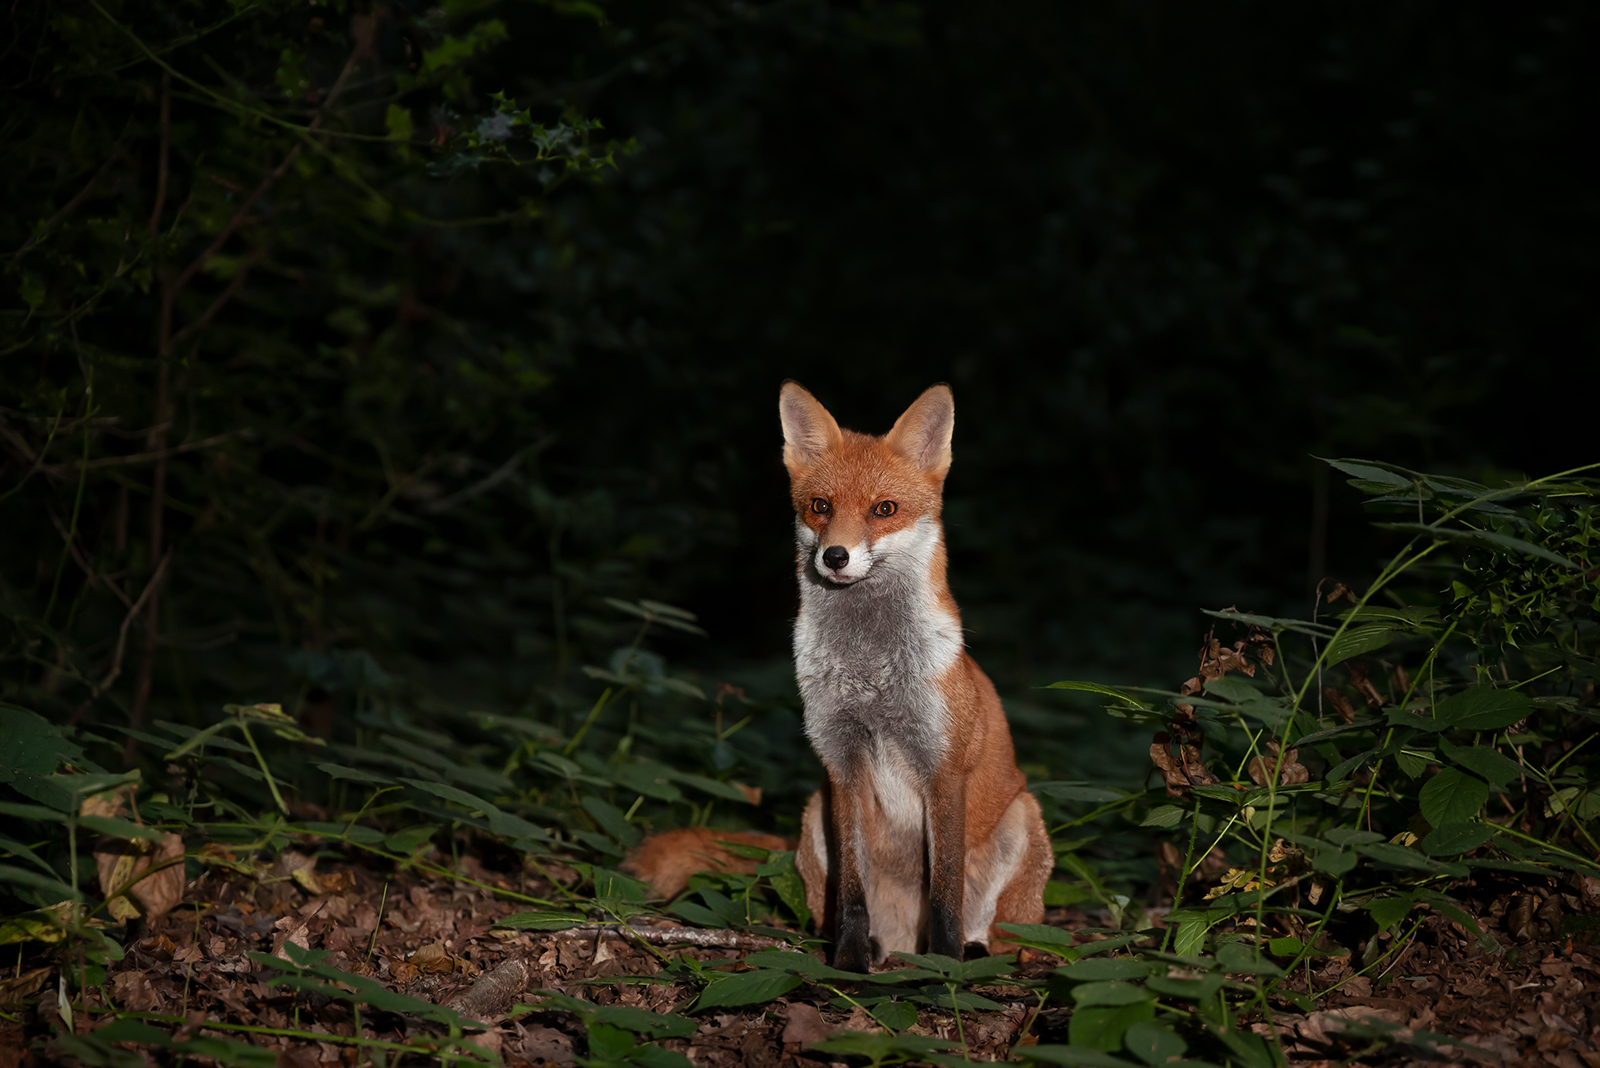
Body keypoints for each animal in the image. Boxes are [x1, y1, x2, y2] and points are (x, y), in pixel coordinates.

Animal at [780, 382, 1056, 965]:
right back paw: (881, 950)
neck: (872, 676)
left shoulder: (943, 768)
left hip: (1023, 819)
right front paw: (849, 960)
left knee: (1003, 934)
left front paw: (943, 967)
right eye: (820, 507)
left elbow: (945, 891)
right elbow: (853, 892)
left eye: (884, 509)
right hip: (814, 812)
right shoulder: (842, 765)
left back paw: (971, 954)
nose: (834, 556)